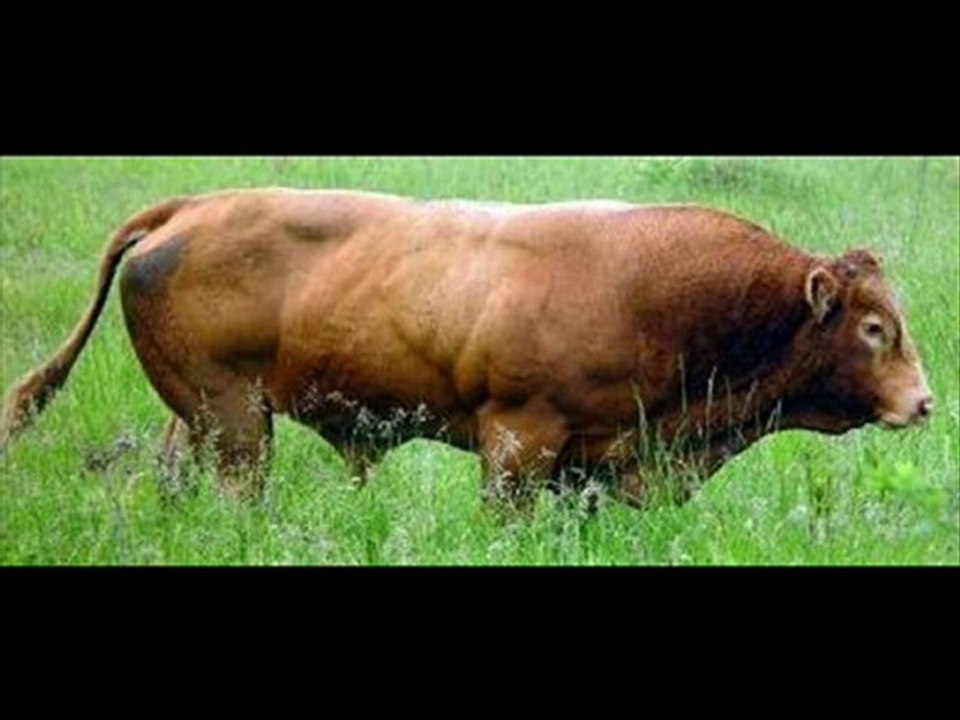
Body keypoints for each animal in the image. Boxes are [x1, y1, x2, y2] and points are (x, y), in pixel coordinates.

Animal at [0, 189, 934, 510]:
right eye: (873, 326)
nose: (923, 402)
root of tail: (191, 207)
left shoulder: (595, 461)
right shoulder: (519, 440)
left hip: (201, 416)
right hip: (234, 421)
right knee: (236, 488)